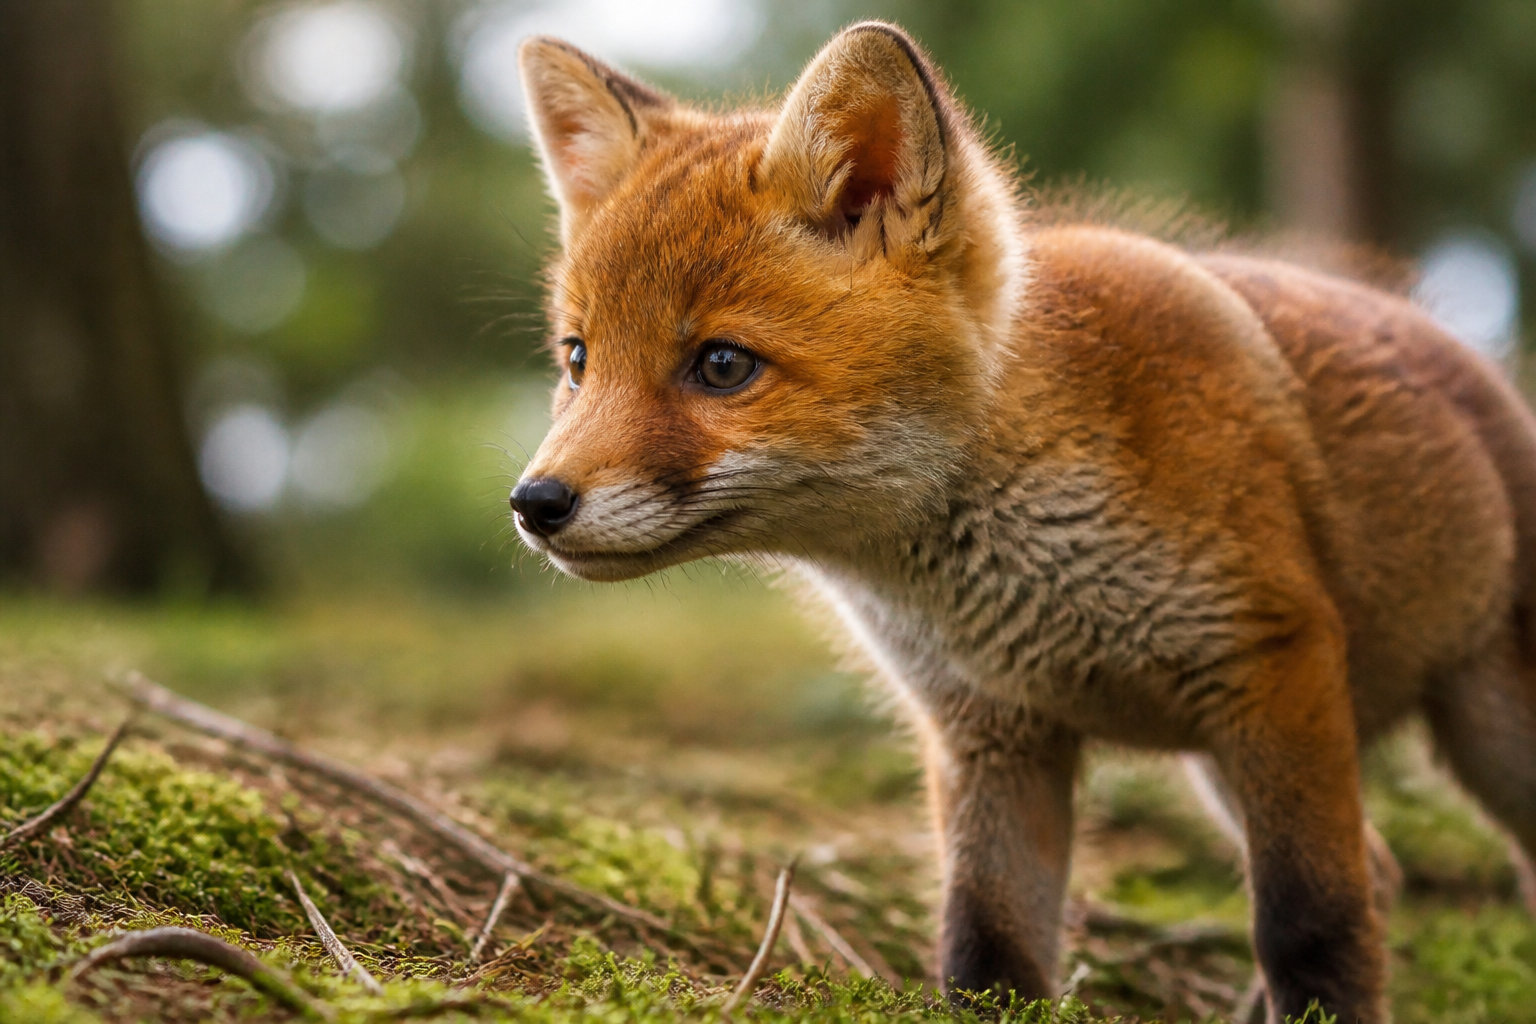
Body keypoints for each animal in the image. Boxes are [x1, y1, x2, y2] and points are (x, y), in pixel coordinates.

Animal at [507, 21, 1536, 1024]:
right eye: (578, 359)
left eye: (722, 365)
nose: (535, 502)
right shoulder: (990, 731)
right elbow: (985, 948)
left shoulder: (1272, 664)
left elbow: (1309, 921)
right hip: (1226, 766)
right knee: (1385, 870)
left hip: (1478, 730)